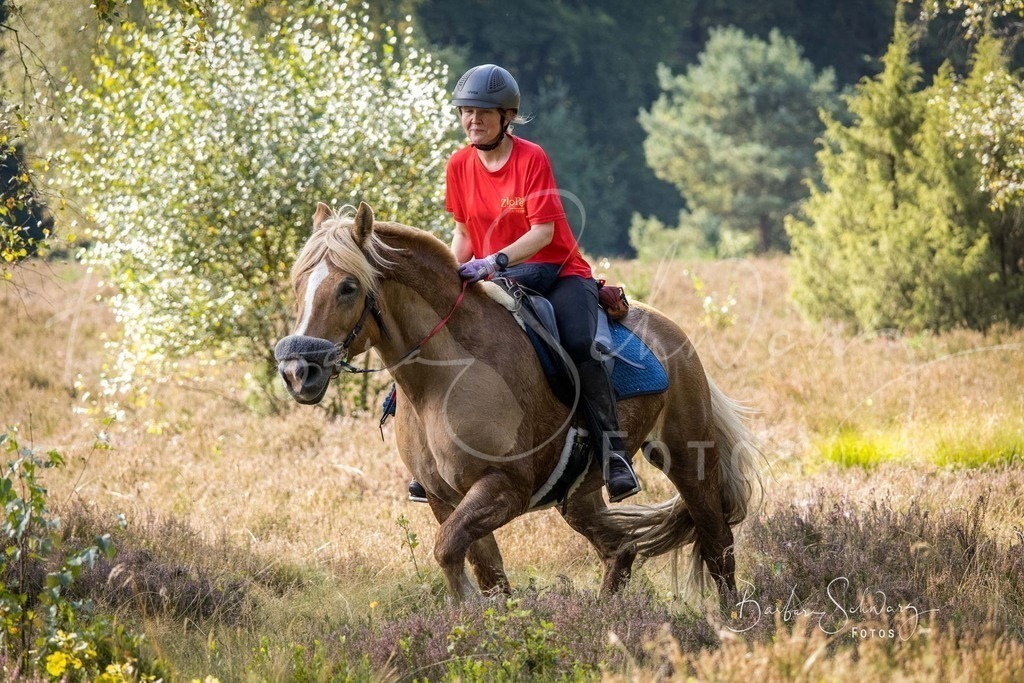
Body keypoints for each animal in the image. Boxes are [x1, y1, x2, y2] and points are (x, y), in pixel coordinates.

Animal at [276, 201, 763, 602]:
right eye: (298, 283)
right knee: (621, 550)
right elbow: (486, 573)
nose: (298, 371)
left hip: (689, 461)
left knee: (718, 547)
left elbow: (448, 552)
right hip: (579, 495)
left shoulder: (504, 488)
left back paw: (730, 627)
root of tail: (671, 331)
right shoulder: (443, 499)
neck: (441, 379)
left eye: (348, 287)